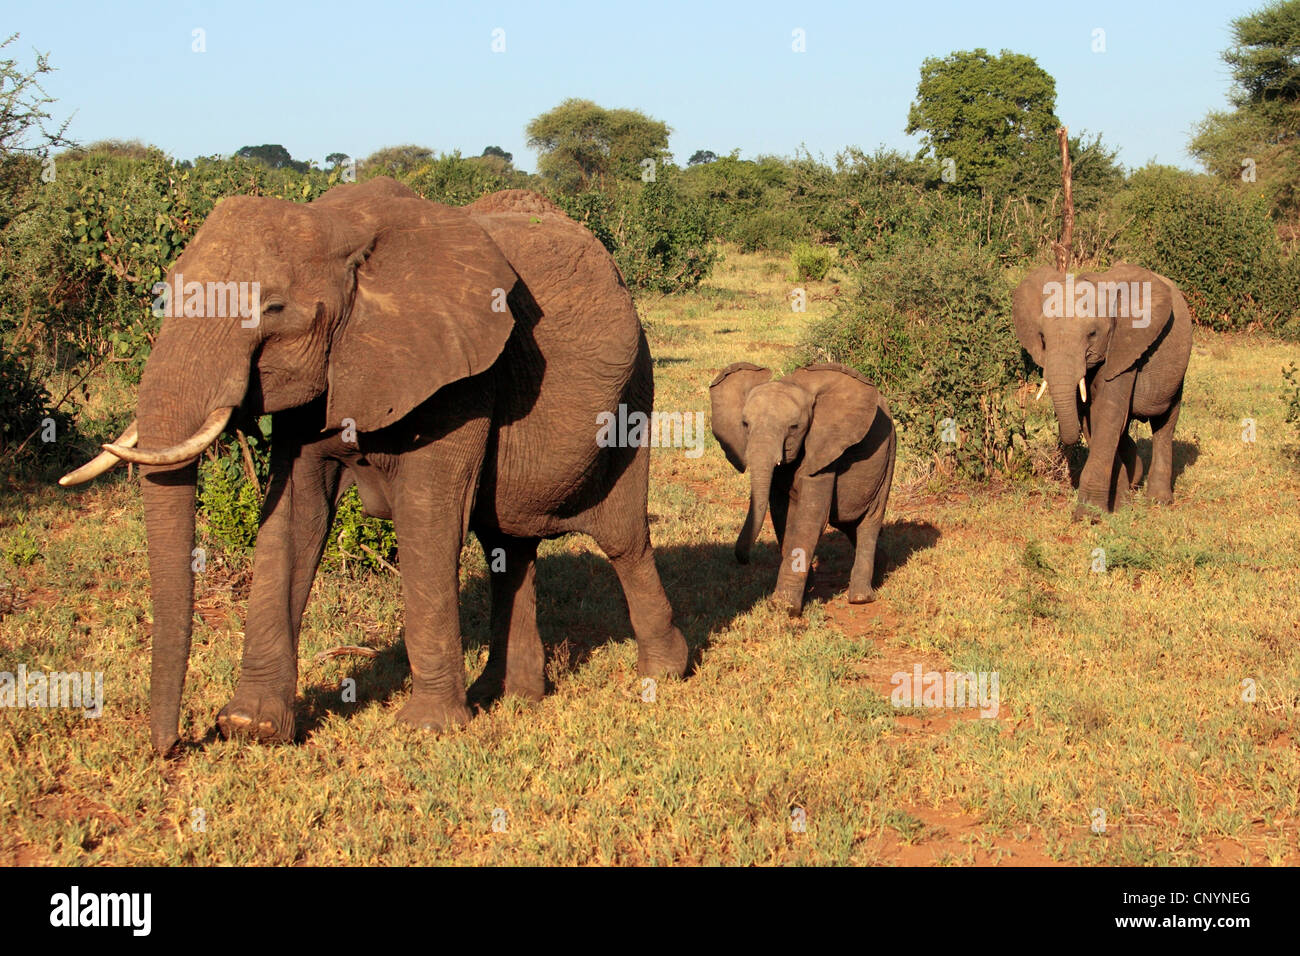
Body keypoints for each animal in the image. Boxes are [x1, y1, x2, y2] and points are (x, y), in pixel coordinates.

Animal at [59, 177, 689, 754]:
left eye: (273, 308)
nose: (171, 746)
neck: (338, 230)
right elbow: (294, 517)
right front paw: (250, 727)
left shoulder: (460, 374)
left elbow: (427, 521)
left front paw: (428, 729)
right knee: (506, 546)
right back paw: (506, 696)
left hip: (634, 393)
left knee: (622, 539)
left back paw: (663, 672)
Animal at [710, 361, 896, 616]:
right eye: (745, 424)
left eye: (794, 427)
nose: (744, 559)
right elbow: (782, 514)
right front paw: (805, 592)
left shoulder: (823, 448)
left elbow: (811, 517)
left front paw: (784, 606)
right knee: (846, 521)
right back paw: (881, 568)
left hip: (888, 457)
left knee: (869, 519)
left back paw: (860, 598)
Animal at [1012, 263, 1192, 518]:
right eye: (1043, 338)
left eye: (1092, 334)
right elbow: (1093, 419)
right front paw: (1118, 505)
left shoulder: (1124, 346)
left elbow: (1108, 414)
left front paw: (1088, 515)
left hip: (1177, 370)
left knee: (1164, 423)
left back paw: (1159, 501)